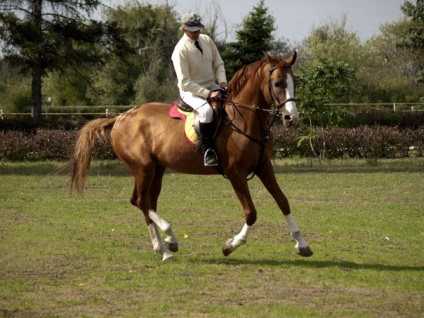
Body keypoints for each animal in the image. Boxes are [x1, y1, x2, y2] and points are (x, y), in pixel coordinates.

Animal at [61, 51, 314, 260]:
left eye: (295, 83)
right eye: (277, 83)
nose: (292, 117)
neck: (246, 120)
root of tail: (121, 117)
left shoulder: (264, 168)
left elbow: (283, 201)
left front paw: (302, 244)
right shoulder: (236, 174)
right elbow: (251, 213)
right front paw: (230, 245)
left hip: (156, 170)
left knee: (146, 202)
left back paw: (164, 248)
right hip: (143, 169)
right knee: (141, 201)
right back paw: (169, 239)